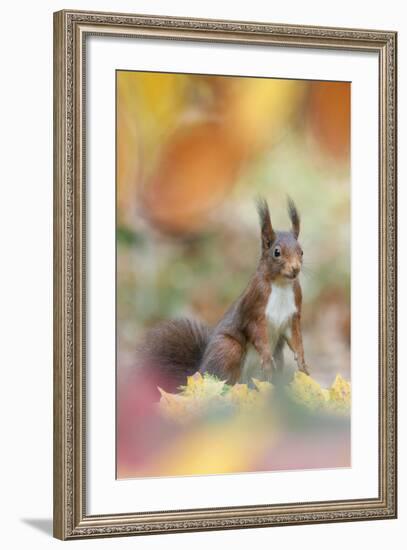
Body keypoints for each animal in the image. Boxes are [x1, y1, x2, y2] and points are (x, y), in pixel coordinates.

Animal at [139, 198, 310, 392]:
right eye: (277, 252)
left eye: (301, 252)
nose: (295, 269)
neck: (281, 285)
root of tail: (198, 373)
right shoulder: (255, 307)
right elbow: (257, 333)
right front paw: (266, 360)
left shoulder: (293, 314)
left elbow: (295, 338)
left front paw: (302, 363)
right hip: (228, 349)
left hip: (276, 358)